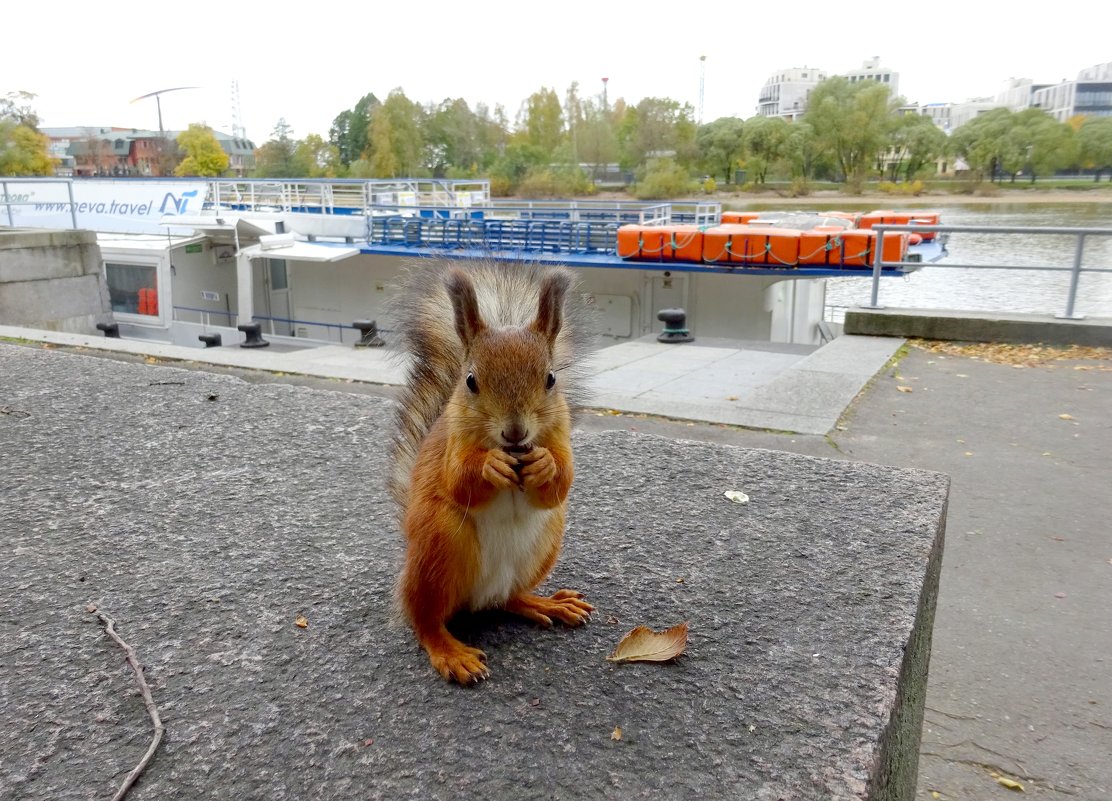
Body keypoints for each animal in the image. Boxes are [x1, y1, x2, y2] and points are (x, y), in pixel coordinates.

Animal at [391, 261, 600, 680]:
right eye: (470, 381)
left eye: (551, 378)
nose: (515, 432)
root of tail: (477, 599)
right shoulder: (450, 446)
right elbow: (459, 481)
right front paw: (491, 466)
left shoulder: (560, 434)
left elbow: (562, 483)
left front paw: (545, 465)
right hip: (440, 540)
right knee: (424, 619)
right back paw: (450, 652)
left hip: (545, 543)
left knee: (508, 599)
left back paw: (546, 604)